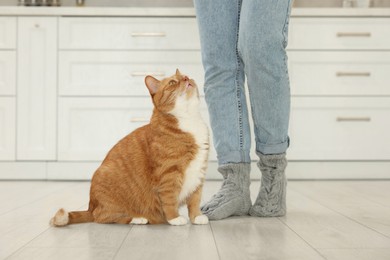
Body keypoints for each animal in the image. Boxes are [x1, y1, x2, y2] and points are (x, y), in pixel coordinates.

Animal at [52, 70, 210, 226]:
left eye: (186, 76)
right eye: (172, 82)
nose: (186, 78)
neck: (189, 119)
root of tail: (90, 206)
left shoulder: (199, 173)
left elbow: (195, 200)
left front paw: (197, 217)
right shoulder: (169, 174)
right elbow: (170, 200)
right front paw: (174, 218)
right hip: (106, 187)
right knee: (102, 216)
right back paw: (138, 218)